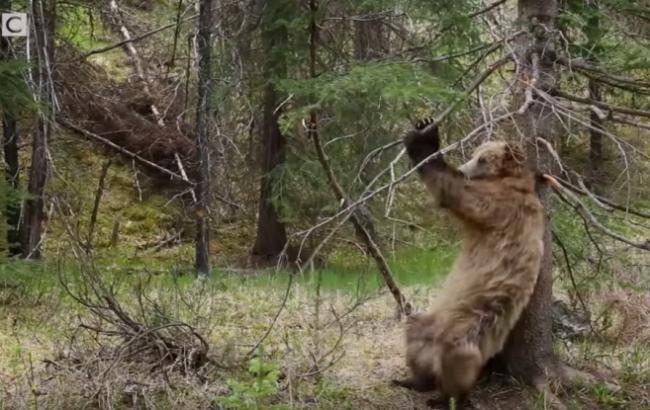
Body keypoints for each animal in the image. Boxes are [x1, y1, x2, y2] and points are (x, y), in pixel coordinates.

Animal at [392, 119, 544, 406]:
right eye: (475, 154)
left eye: (482, 158)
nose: (464, 169)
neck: (510, 180)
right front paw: (424, 127)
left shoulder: (499, 206)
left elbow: (457, 194)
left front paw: (424, 142)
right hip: (433, 319)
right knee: (415, 334)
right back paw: (412, 379)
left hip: (471, 329)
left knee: (457, 363)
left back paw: (444, 398)